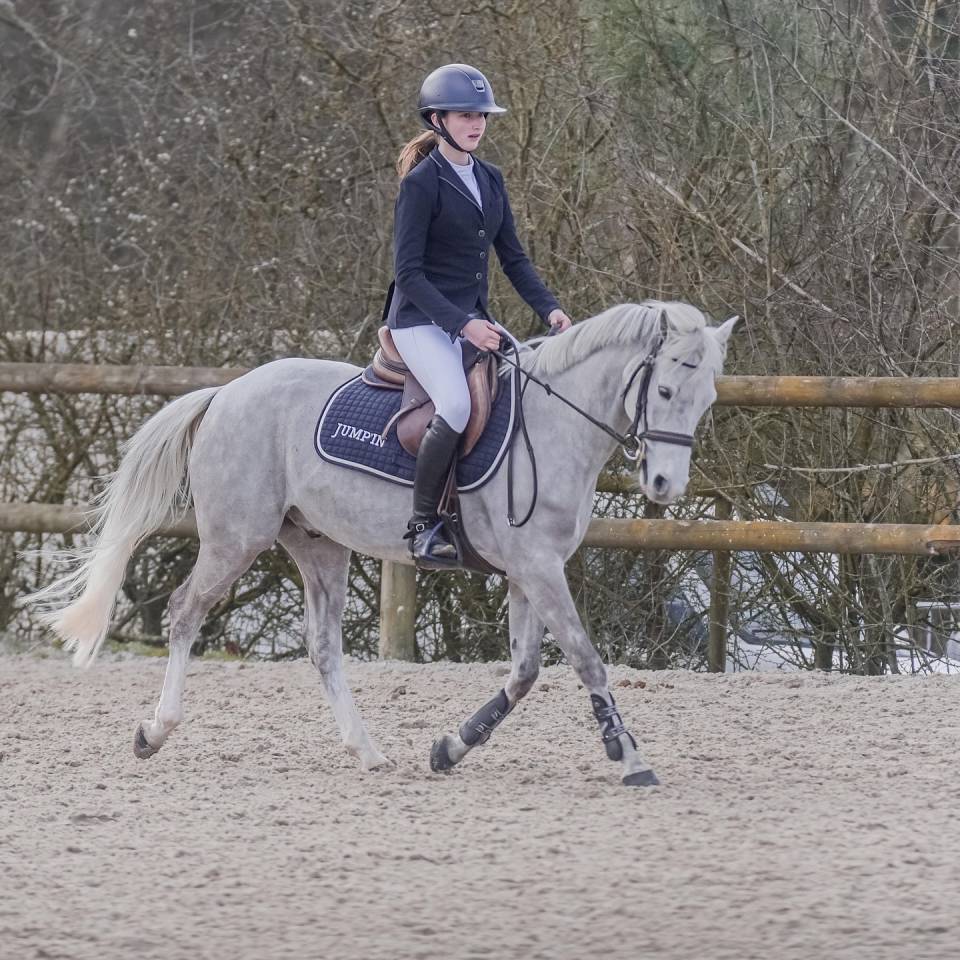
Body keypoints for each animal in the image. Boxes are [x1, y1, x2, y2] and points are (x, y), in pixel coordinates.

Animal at [23, 301, 737, 786]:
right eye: (664, 389)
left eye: (705, 400)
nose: (666, 486)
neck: (553, 423)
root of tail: (227, 391)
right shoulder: (538, 568)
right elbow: (586, 660)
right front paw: (629, 756)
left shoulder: (529, 570)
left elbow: (526, 672)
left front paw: (450, 747)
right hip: (235, 539)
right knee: (184, 614)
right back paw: (154, 731)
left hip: (319, 547)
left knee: (323, 649)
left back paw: (366, 751)